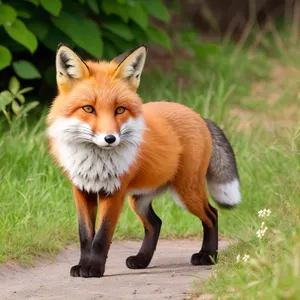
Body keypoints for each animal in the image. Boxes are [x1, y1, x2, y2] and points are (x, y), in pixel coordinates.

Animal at [46, 43, 241, 278]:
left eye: (120, 109)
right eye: (88, 108)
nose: (110, 139)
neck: (95, 162)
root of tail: (198, 116)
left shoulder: (115, 192)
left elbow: (102, 237)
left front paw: (94, 268)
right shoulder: (82, 190)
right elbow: (85, 236)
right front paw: (83, 265)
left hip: (186, 192)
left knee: (211, 214)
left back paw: (208, 256)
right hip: (139, 199)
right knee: (155, 223)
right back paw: (142, 260)